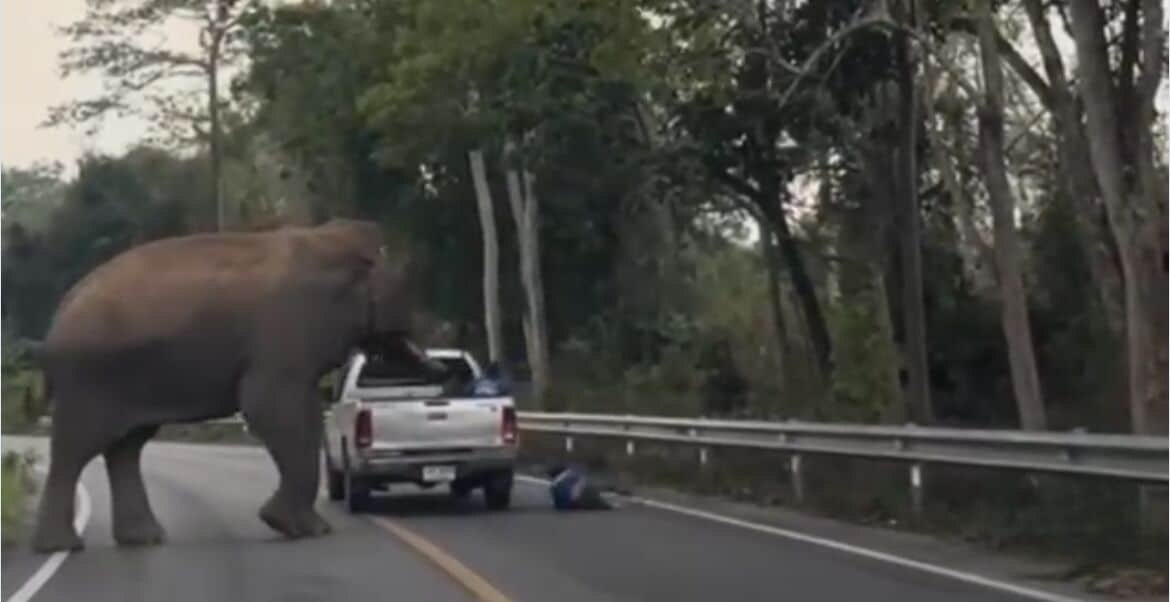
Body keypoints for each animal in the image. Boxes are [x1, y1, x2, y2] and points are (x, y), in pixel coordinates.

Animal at [33, 218, 442, 554]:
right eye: (406, 292)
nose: (445, 373)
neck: (327, 238)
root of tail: (57, 316)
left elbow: (303, 411)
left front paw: (297, 525)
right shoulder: (287, 328)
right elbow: (270, 407)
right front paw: (303, 529)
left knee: (127, 447)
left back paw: (143, 539)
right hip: (89, 378)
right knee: (77, 448)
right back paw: (63, 546)